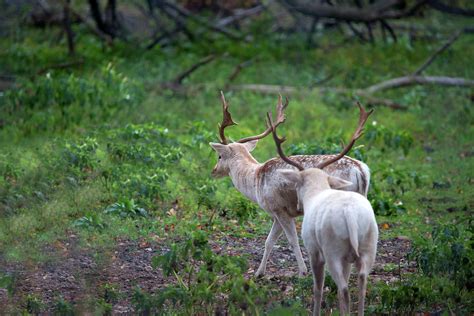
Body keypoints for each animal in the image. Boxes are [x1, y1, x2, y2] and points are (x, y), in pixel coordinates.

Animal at [210, 91, 370, 276]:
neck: (255, 180)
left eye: (219, 156)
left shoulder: (280, 208)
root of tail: (360, 171)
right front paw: (259, 273)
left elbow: (292, 240)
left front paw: (302, 272)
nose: (213, 170)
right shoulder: (277, 213)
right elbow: (269, 241)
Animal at [268, 105, 380, 314]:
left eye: (297, 185)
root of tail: (350, 215)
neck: (315, 194)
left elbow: (317, 288)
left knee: (344, 289)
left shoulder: (313, 248)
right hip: (369, 244)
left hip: (332, 249)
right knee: (362, 281)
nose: (298, 205)